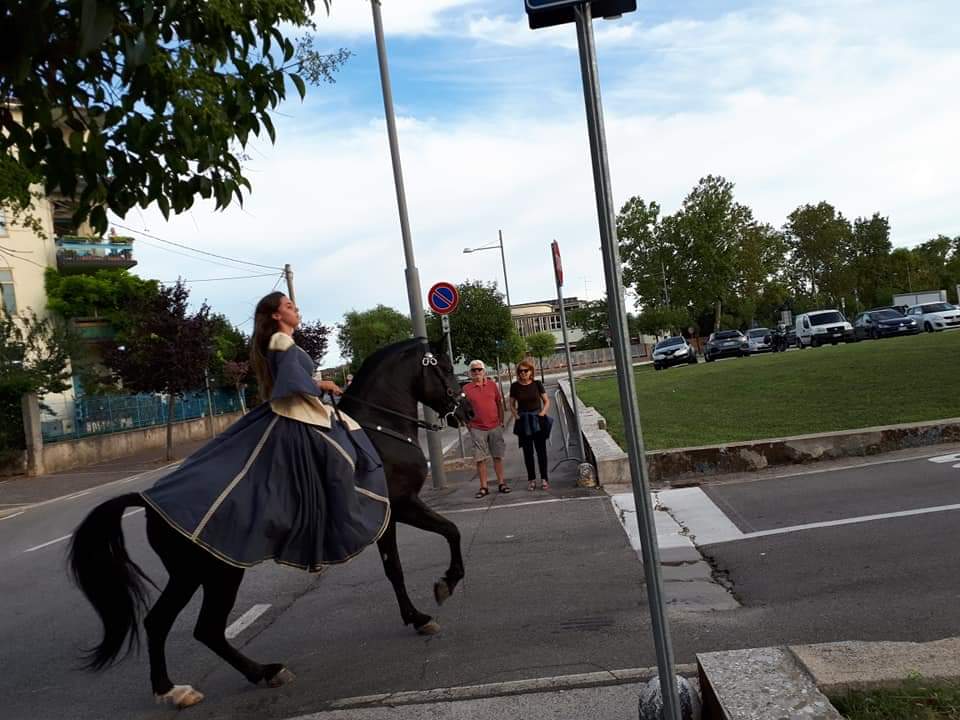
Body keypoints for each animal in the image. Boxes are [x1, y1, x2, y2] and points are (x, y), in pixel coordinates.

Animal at [68, 338, 473, 708]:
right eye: (446, 368)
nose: (467, 409)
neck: (378, 431)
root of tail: (147, 500)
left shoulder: (392, 515)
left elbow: (420, 552)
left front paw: (426, 606)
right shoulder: (400, 508)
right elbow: (433, 544)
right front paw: (438, 593)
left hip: (192, 574)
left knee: (168, 624)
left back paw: (184, 687)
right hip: (215, 572)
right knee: (200, 627)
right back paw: (254, 674)